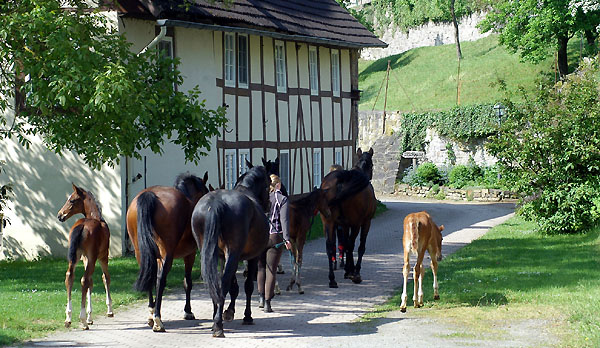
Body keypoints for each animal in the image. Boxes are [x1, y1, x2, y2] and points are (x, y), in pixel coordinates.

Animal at [57, 184, 112, 330]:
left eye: (71, 200)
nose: (60, 215)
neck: (97, 217)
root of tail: (82, 225)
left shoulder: (85, 259)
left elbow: (92, 283)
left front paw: (90, 317)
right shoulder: (102, 257)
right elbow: (105, 278)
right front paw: (109, 310)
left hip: (74, 258)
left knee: (70, 277)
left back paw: (68, 318)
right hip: (93, 258)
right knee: (84, 280)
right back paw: (82, 320)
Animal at [126, 171, 209, 332]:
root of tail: (149, 195)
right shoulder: (190, 254)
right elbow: (187, 282)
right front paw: (188, 311)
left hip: (141, 252)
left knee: (149, 276)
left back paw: (152, 313)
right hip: (167, 254)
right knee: (160, 279)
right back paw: (158, 318)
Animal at [191, 166, 270, 338]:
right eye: (268, 185)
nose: (268, 204)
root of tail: (216, 202)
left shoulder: (225, 257)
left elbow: (234, 287)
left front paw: (229, 311)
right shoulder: (250, 257)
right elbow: (247, 286)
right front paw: (247, 316)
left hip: (209, 253)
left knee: (215, 283)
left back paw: (215, 318)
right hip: (234, 254)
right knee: (224, 282)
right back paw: (218, 325)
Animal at [318, 148, 376, 286]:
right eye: (372, 165)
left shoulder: (344, 224)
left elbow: (344, 244)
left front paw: (347, 270)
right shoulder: (365, 222)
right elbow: (358, 247)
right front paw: (354, 271)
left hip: (328, 222)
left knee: (330, 246)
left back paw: (332, 279)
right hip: (356, 224)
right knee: (351, 245)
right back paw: (353, 274)